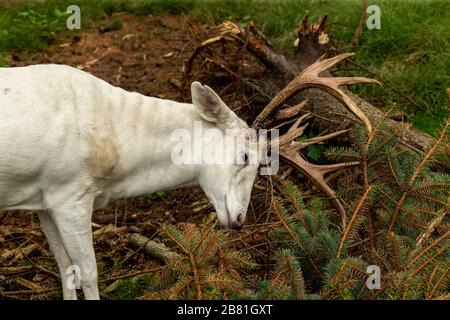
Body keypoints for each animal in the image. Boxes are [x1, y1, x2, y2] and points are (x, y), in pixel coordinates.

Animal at [0, 65, 264, 300]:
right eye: (245, 157)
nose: (239, 220)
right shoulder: (69, 194)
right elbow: (88, 273)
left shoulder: (45, 199)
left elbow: (64, 266)